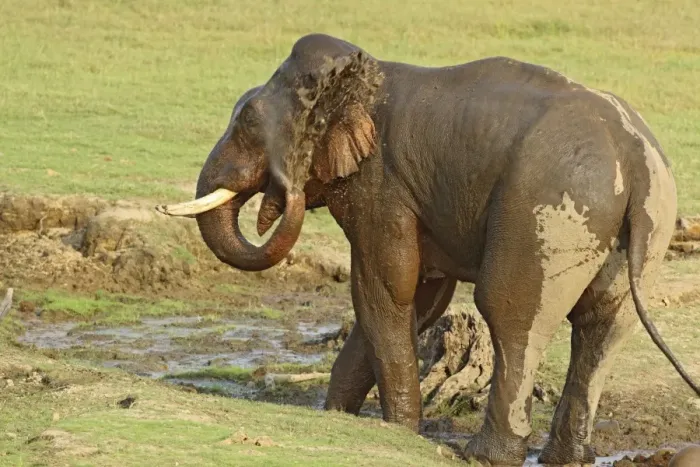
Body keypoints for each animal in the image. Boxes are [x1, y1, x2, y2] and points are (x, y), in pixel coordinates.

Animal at [156, 33, 700, 466]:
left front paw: (397, 432)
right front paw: (338, 419)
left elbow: (383, 290)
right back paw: (565, 458)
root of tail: (634, 155)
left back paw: (486, 455)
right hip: (646, 225)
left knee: (511, 314)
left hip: (545, 211)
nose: (278, 192)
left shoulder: (381, 185)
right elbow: (419, 297)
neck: (361, 74)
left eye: (248, 120)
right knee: (603, 327)